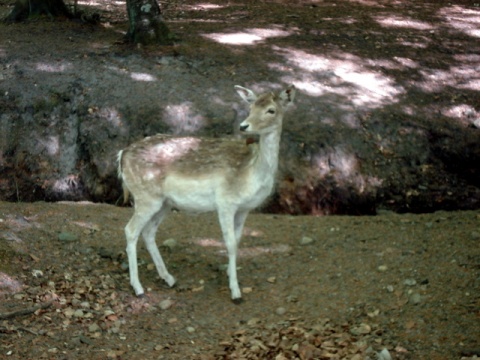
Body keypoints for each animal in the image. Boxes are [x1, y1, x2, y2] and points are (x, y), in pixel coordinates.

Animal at [116, 86, 296, 302]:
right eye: (251, 107)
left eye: (271, 110)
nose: (244, 126)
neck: (252, 174)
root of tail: (121, 155)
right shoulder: (225, 202)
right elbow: (230, 243)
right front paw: (235, 291)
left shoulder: (244, 209)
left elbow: (238, 241)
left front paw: (229, 273)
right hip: (146, 197)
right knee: (130, 230)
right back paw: (138, 287)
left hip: (164, 203)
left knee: (148, 231)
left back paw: (168, 278)